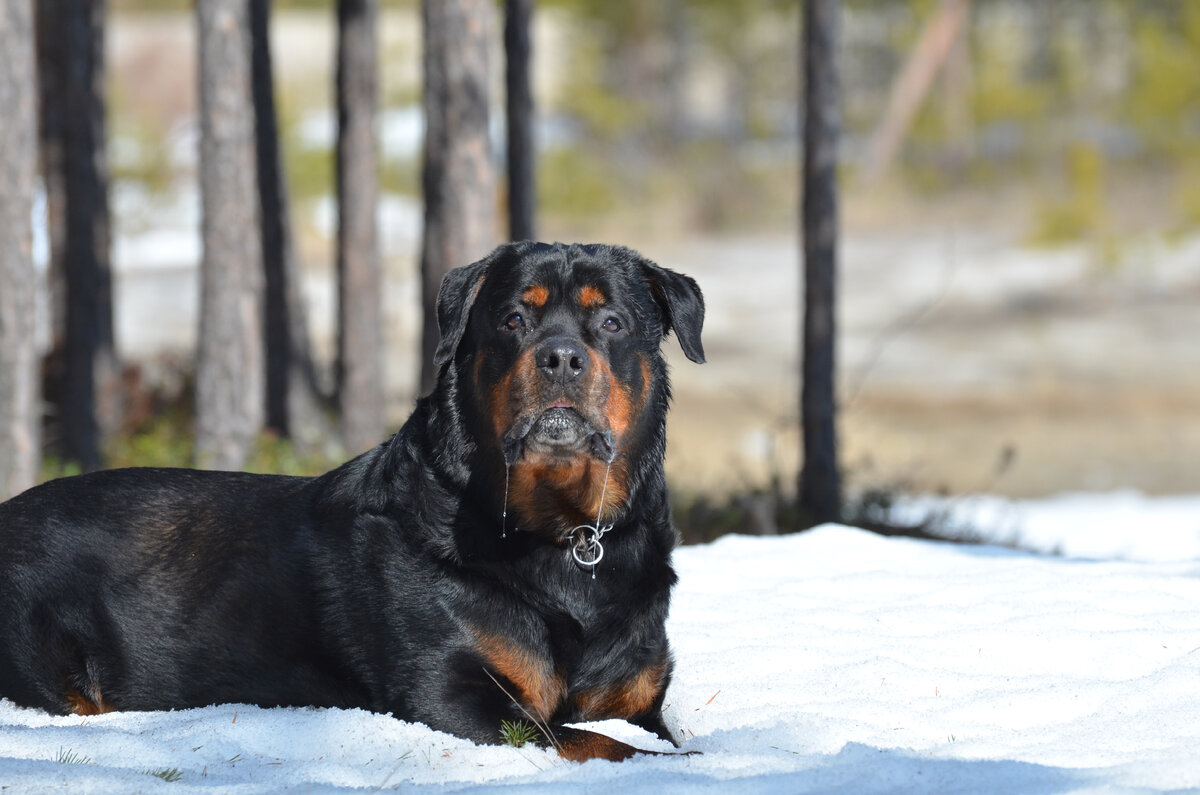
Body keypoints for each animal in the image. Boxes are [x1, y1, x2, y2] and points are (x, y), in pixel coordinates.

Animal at [0, 241, 700, 758]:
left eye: (611, 322)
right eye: (513, 320)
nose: (559, 357)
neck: (561, 535)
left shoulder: (638, 699)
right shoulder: (455, 696)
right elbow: (596, 742)